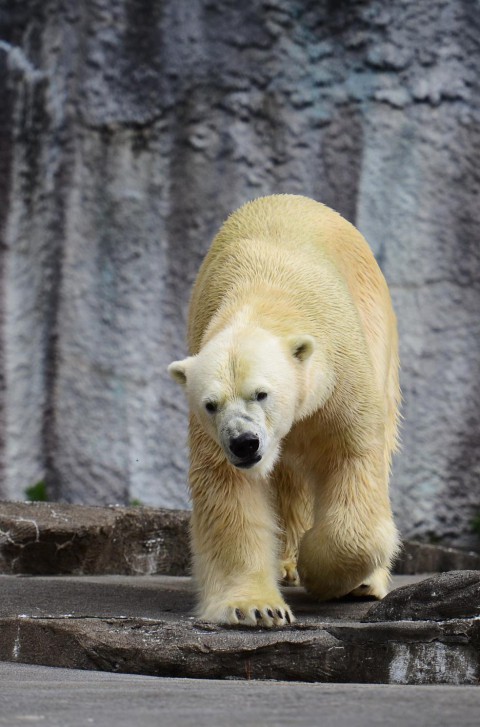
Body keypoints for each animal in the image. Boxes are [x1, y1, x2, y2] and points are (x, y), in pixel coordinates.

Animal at [167, 193, 400, 624]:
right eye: (211, 404)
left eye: (261, 393)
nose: (244, 443)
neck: (262, 295)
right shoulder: (211, 433)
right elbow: (228, 490)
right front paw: (256, 608)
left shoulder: (340, 377)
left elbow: (352, 458)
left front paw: (329, 576)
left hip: (379, 332)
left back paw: (361, 582)